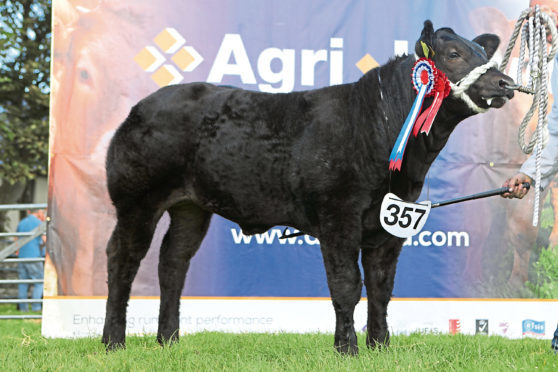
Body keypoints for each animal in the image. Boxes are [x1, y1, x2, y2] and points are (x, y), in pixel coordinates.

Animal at [101, 21, 516, 354]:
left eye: (484, 53)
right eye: (453, 53)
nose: (506, 83)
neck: (377, 126)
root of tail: (142, 106)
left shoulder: (391, 221)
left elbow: (381, 287)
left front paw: (381, 347)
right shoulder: (338, 214)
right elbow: (347, 284)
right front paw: (347, 349)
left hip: (191, 206)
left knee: (173, 260)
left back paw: (168, 339)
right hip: (138, 199)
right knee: (123, 257)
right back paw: (113, 341)